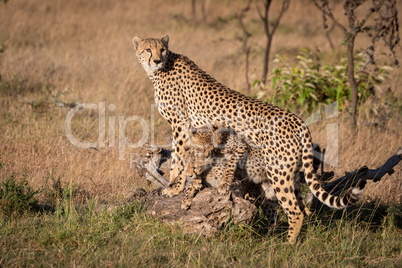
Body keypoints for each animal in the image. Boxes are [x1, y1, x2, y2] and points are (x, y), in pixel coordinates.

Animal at [133, 35, 362, 243]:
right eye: (148, 49)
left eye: (162, 49)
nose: (156, 60)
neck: (160, 70)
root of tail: (299, 121)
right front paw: (178, 185)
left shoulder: (181, 123)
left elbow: (178, 158)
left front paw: (174, 188)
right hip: (291, 174)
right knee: (304, 210)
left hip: (279, 172)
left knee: (295, 211)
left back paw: (287, 246)